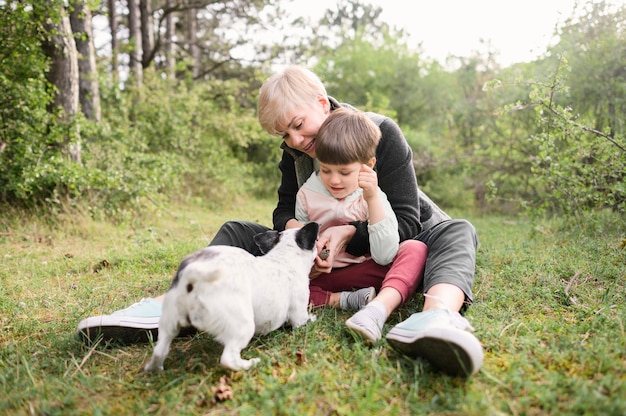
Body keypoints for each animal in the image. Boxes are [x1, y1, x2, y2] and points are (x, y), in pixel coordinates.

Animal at [144, 223, 320, 372]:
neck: (283, 257)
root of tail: (192, 275)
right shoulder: (299, 315)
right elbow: (304, 320)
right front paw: (313, 318)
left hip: (169, 321)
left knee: (159, 350)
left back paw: (154, 369)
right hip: (243, 325)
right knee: (228, 358)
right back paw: (250, 364)